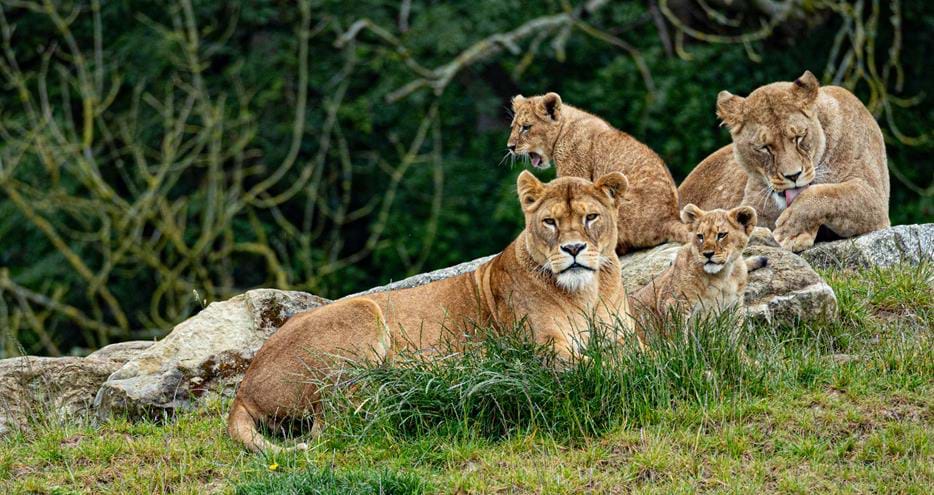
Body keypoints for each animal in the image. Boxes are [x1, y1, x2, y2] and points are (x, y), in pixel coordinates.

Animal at [227, 171, 638, 452]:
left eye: (590, 217)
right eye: (550, 222)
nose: (573, 248)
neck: (585, 293)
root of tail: (243, 389)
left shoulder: (622, 334)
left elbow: (638, 355)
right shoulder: (542, 347)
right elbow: (599, 366)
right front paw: (620, 371)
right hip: (362, 312)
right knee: (330, 422)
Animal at [508, 92, 688, 254]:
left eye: (526, 127)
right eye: (513, 127)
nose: (510, 147)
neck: (564, 127)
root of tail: (669, 219)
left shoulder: (574, 172)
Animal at [630, 204, 767, 326]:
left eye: (721, 235)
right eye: (700, 236)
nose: (707, 254)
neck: (721, 277)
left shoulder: (734, 307)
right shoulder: (674, 305)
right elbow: (679, 336)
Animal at [678, 70, 890, 252]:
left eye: (799, 137)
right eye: (764, 147)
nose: (793, 176)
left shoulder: (875, 200)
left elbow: (829, 194)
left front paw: (791, 232)